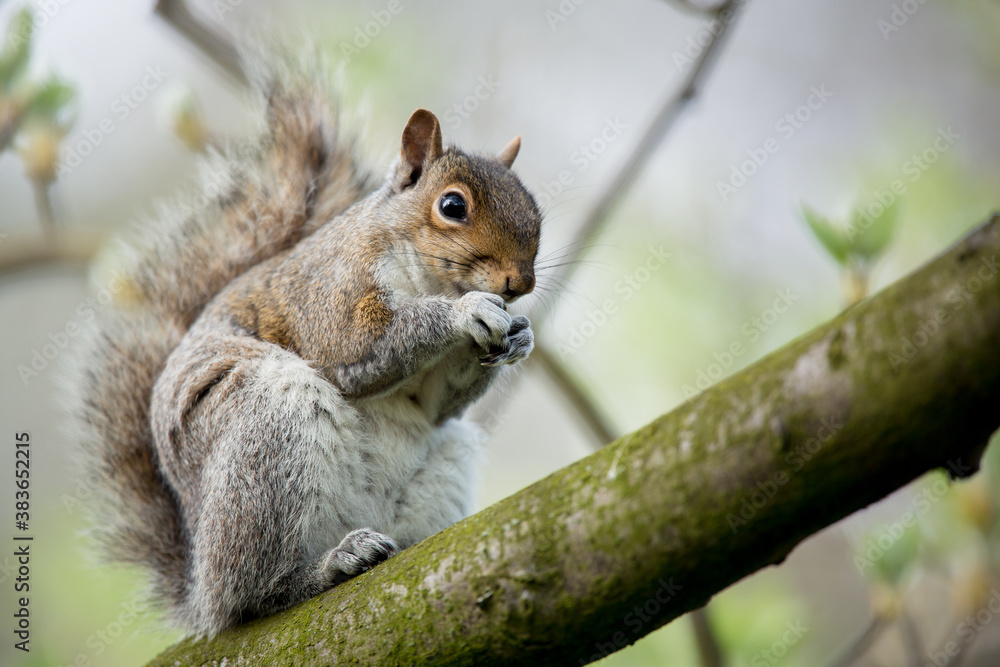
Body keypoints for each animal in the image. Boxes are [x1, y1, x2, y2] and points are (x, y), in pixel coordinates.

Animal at [67, 52, 544, 636]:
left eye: (534, 209)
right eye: (452, 205)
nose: (519, 283)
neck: (424, 275)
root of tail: (201, 590)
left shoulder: (435, 396)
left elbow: (436, 404)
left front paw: (518, 335)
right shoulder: (331, 297)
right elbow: (364, 346)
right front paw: (464, 312)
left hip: (439, 466)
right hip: (267, 440)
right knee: (252, 597)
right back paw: (326, 567)